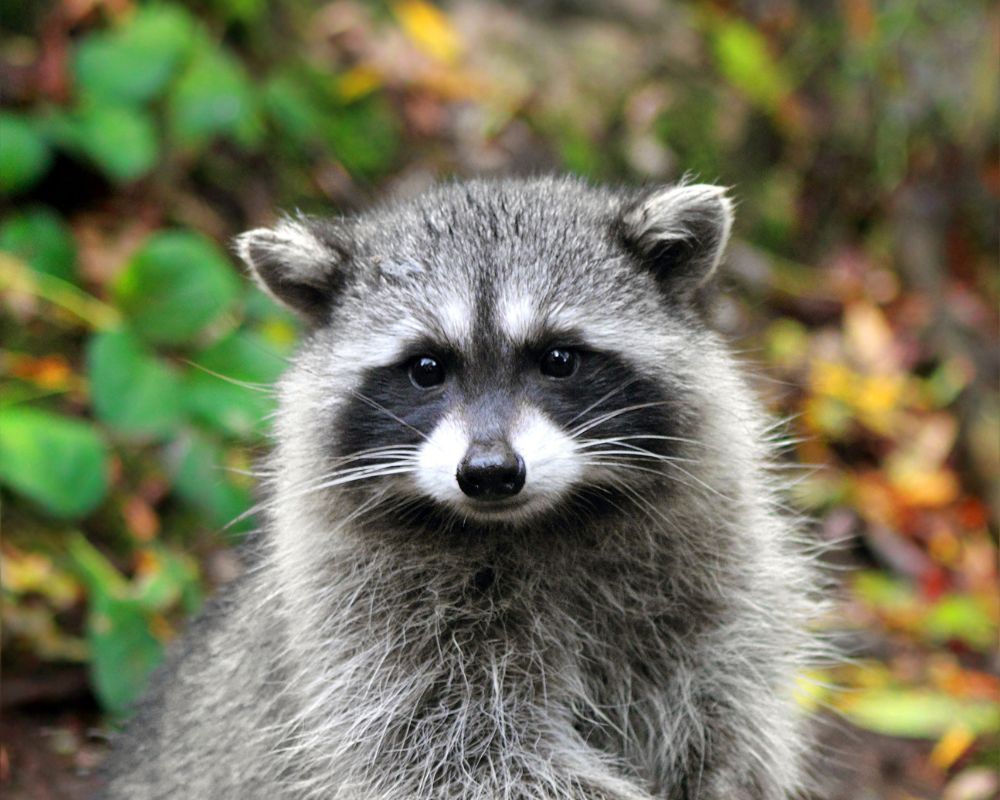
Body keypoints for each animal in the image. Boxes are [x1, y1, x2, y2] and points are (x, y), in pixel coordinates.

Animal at [101, 178, 824, 796]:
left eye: (558, 359)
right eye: (426, 369)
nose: (490, 473)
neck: (538, 524)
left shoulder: (711, 575)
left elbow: (725, 711)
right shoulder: (364, 626)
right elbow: (457, 755)